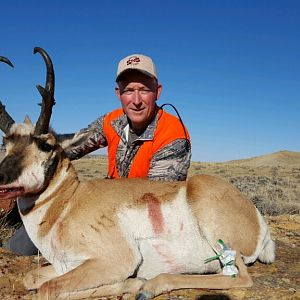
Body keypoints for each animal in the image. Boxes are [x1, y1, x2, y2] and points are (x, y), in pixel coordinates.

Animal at [0, 48, 276, 298]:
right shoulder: (64, 265)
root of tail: (257, 220)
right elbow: (32, 278)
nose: (2, 177)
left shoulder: (114, 261)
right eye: (6, 143)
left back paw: (148, 286)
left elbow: (47, 289)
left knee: (239, 277)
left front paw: (133, 283)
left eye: (46, 145)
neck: (68, 203)